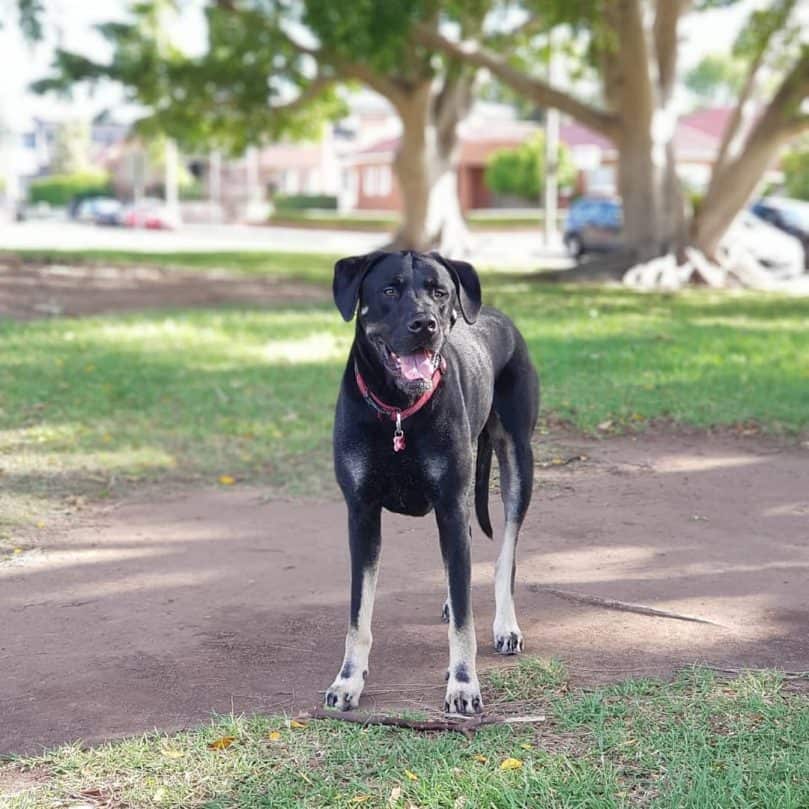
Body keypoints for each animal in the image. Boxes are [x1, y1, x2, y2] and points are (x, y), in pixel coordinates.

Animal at [322, 251, 536, 712]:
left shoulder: (451, 505)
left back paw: (504, 624)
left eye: (440, 292)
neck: (399, 409)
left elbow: (464, 623)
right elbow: (358, 613)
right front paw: (348, 680)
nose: (425, 324)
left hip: (518, 460)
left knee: (505, 554)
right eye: (389, 289)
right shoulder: (362, 513)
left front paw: (463, 683)